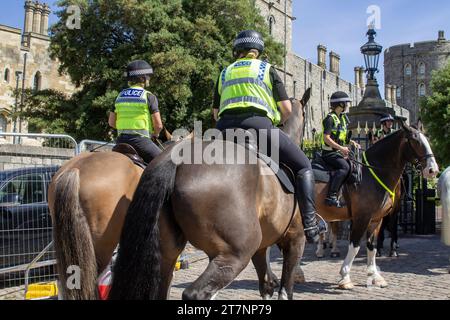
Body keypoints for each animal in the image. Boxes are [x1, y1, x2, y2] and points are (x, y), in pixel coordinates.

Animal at [110, 99, 312, 300]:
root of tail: (177, 157)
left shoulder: (262, 249)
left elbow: (267, 285)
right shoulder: (295, 239)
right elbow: (285, 290)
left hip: (166, 256)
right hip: (235, 253)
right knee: (196, 293)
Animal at [300, 121, 438, 288]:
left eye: (427, 140)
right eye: (415, 141)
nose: (433, 170)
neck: (371, 174)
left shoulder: (376, 219)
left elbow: (371, 246)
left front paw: (375, 276)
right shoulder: (362, 218)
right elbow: (355, 245)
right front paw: (345, 277)